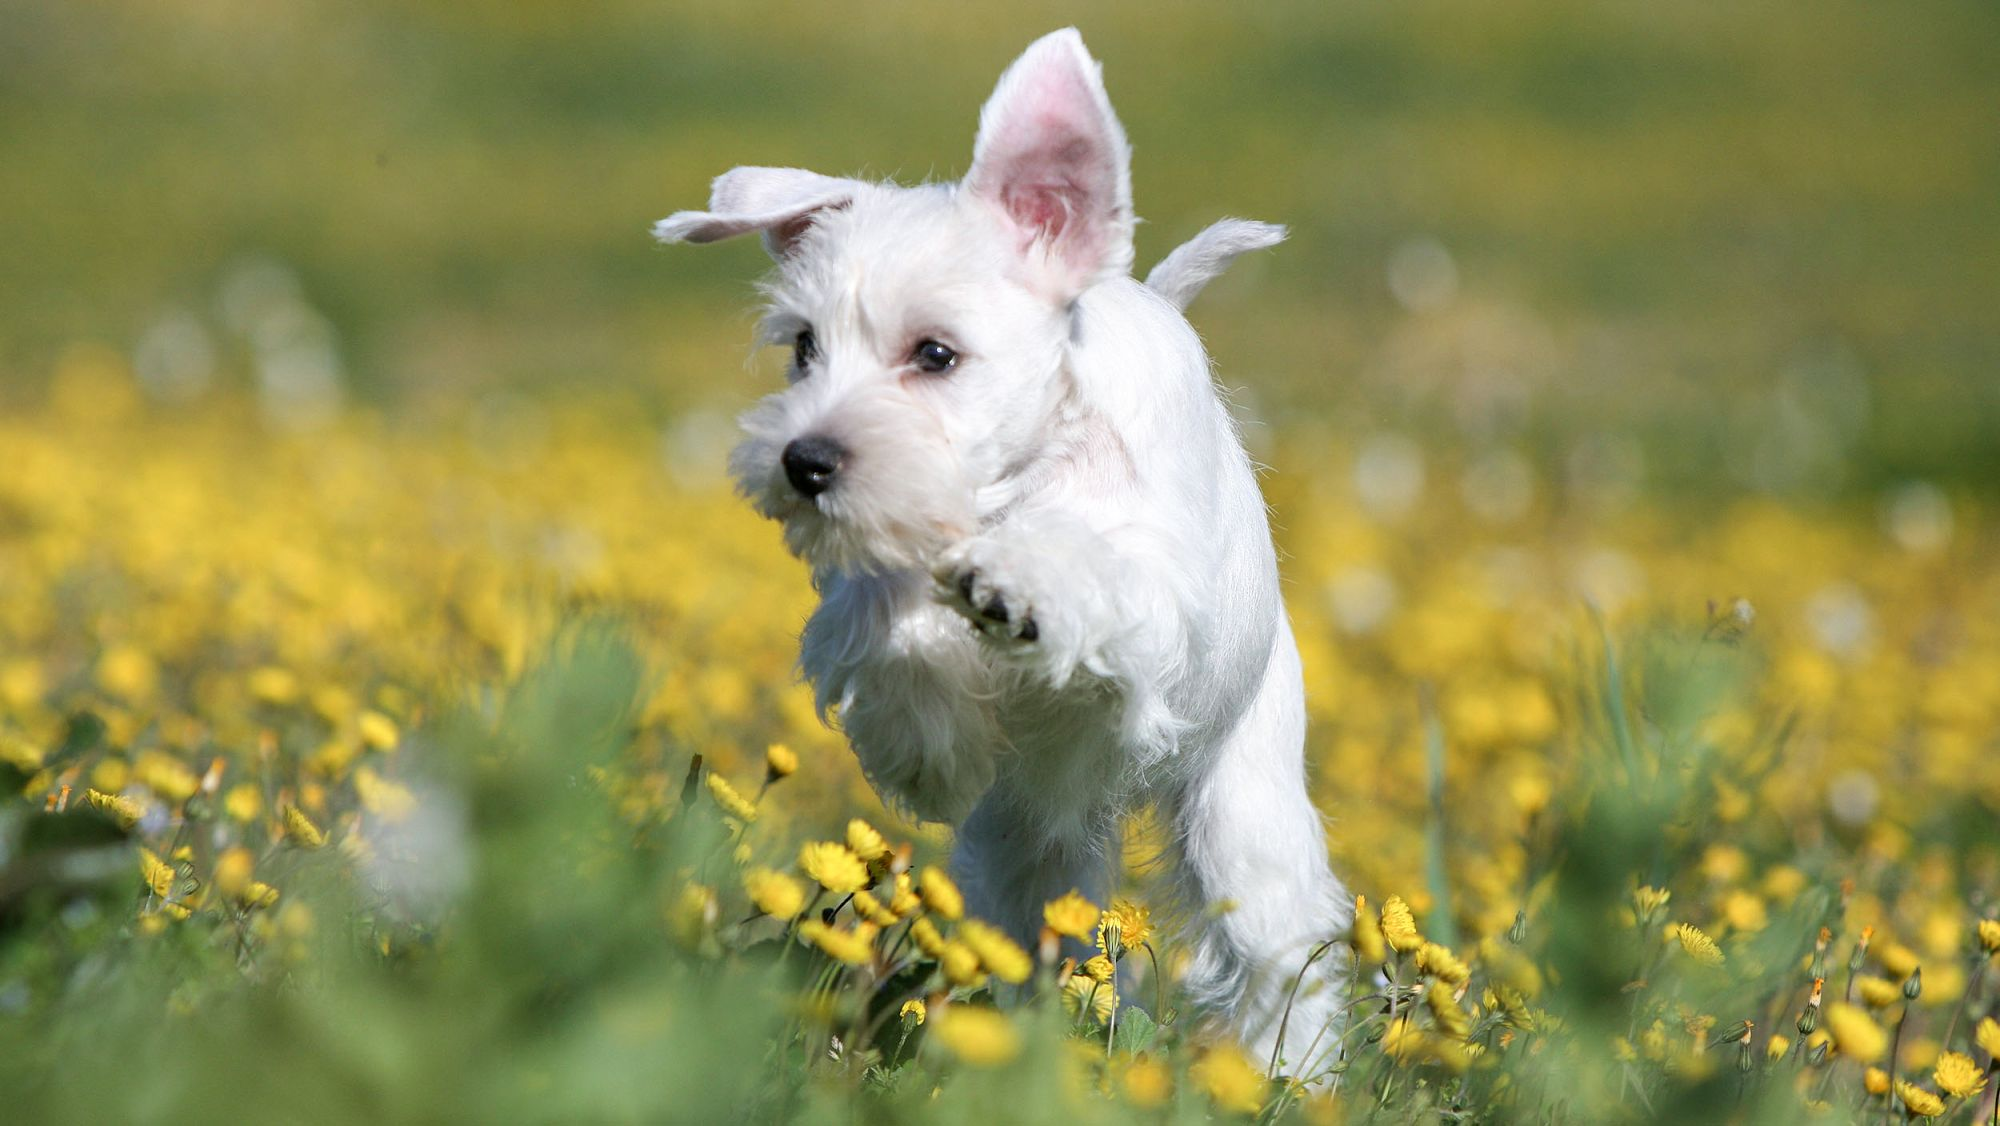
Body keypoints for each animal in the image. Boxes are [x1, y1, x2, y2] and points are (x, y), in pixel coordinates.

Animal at [656, 24, 1344, 1064]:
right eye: (804, 348)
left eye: (936, 354)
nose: (804, 462)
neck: (1018, 473)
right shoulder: (880, 571)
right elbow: (883, 616)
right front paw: (923, 742)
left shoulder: (1155, 594)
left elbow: (1088, 565)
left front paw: (1012, 584)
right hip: (1028, 856)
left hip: (1243, 816)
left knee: (1275, 954)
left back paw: (1285, 1073)